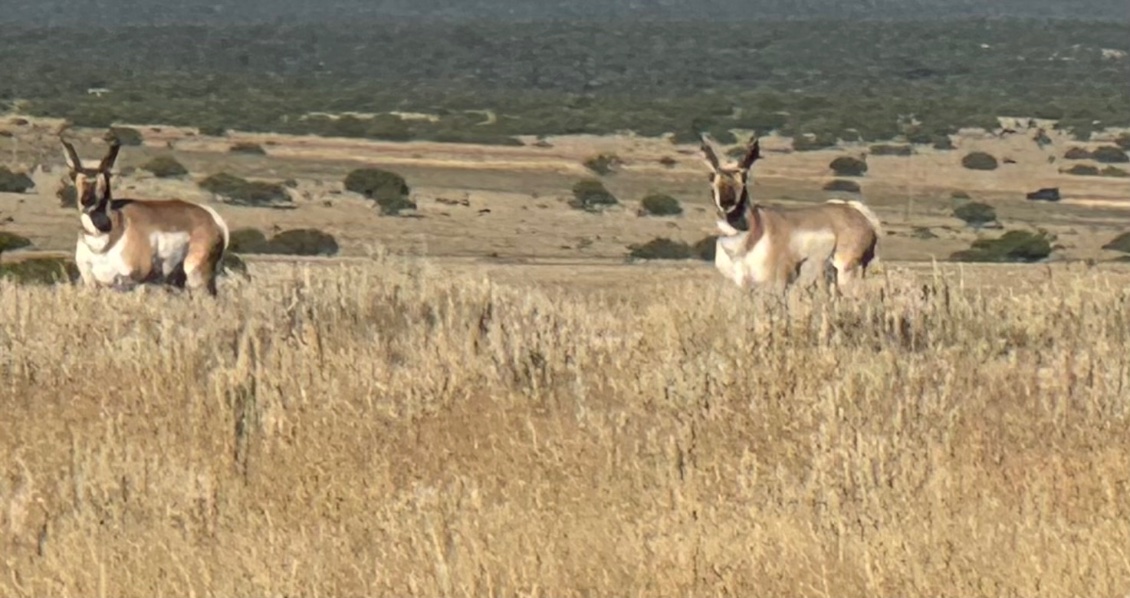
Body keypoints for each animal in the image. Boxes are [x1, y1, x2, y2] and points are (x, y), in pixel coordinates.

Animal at [60, 133, 232, 293]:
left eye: (106, 176)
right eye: (73, 176)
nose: (86, 201)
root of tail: (210, 216)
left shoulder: (131, 281)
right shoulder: (91, 282)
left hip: (195, 274)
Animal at [700, 133, 885, 293]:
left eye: (744, 178)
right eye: (711, 178)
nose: (727, 203)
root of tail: (856, 212)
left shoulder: (779, 283)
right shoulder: (743, 287)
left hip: (847, 271)